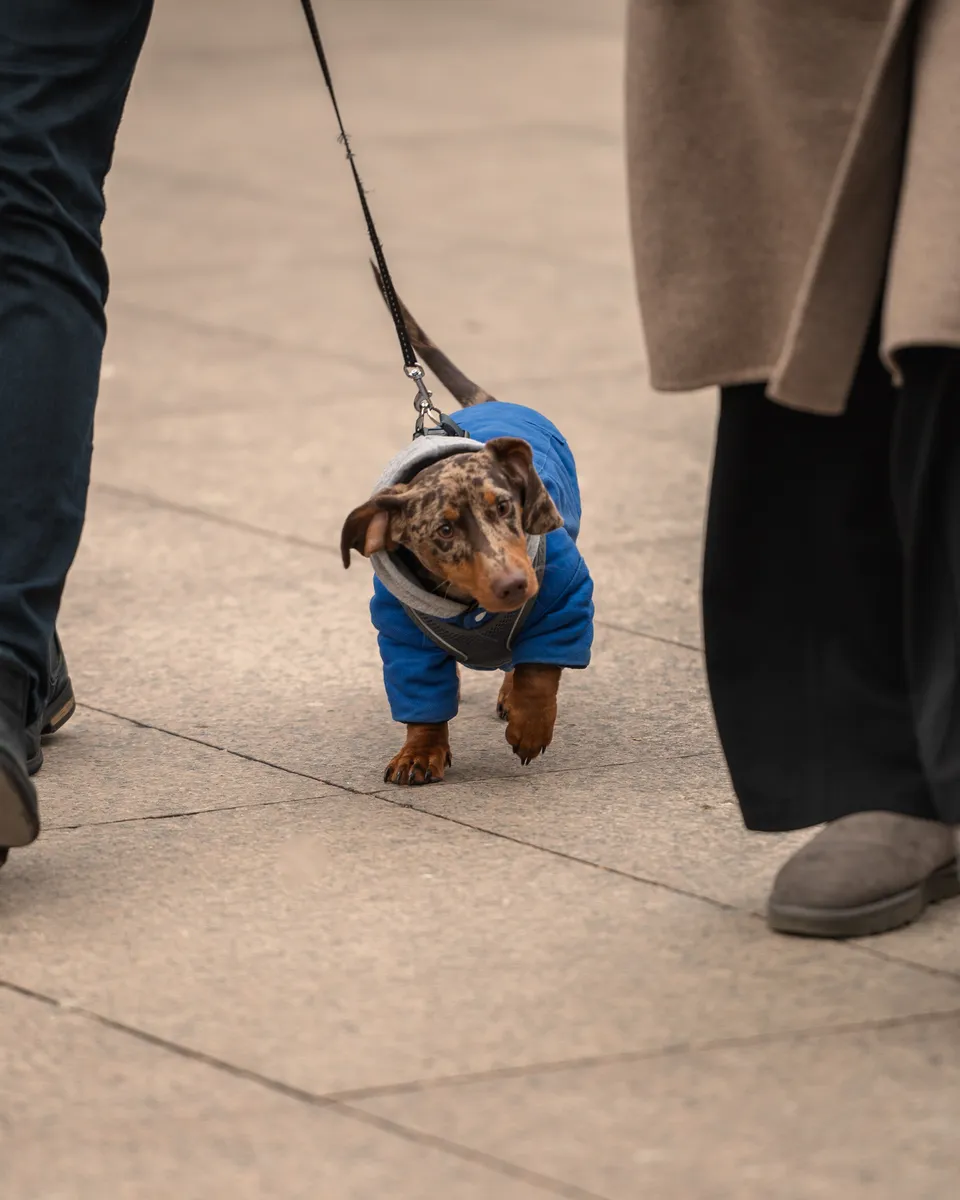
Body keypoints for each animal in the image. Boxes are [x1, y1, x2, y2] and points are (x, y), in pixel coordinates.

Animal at [338, 280, 592, 787]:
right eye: (444, 529)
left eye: (505, 506)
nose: (515, 585)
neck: (471, 605)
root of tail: (488, 401)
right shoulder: (402, 638)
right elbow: (423, 702)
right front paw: (419, 754)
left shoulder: (565, 601)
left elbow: (540, 672)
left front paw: (529, 725)